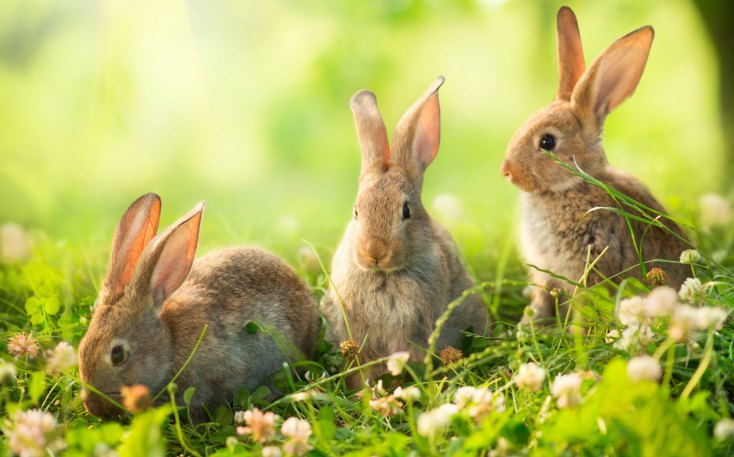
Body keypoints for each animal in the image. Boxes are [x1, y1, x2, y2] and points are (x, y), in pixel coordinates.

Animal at [500, 6, 690, 324]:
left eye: (547, 142)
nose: (507, 171)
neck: (572, 185)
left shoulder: (592, 262)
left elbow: (587, 304)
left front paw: (577, 330)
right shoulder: (546, 274)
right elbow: (542, 298)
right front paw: (528, 325)